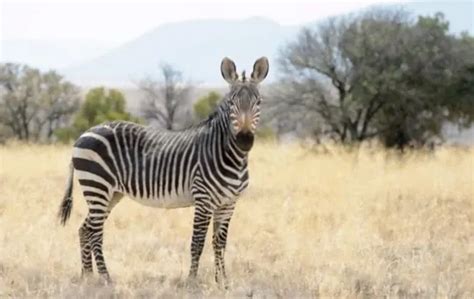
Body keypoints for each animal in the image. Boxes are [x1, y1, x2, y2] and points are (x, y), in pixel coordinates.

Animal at [57, 56, 268, 286]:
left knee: (85, 229)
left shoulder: (228, 204)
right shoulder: (203, 200)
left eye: (259, 102)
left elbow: (219, 243)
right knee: (95, 233)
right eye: (231, 103)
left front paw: (222, 282)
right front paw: (192, 281)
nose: (244, 140)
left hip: (111, 194)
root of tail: (83, 134)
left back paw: (87, 277)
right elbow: (198, 242)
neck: (230, 155)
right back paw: (106, 278)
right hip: (97, 186)